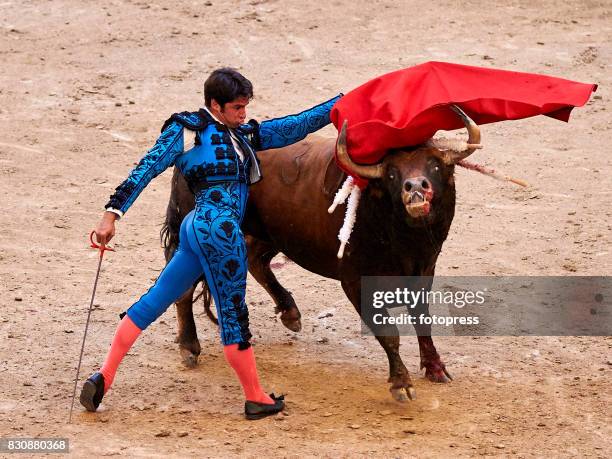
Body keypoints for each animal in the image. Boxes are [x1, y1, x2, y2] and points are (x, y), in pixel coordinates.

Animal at [161, 117, 478, 398]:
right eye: (391, 173)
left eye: (435, 165)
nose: (415, 187)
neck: (404, 240)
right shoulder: (355, 281)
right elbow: (388, 333)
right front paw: (401, 383)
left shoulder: (424, 269)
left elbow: (422, 318)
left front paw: (435, 367)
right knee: (183, 286)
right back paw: (189, 346)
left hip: (269, 233)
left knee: (254, 259)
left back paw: (290, 313)